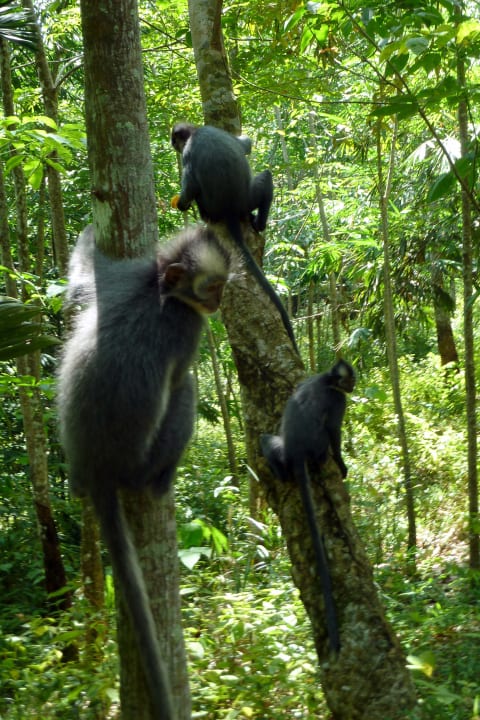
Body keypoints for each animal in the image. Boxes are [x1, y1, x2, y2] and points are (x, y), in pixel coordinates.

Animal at [57, 224, 232, 719]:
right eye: (209, 289)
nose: (218, 304)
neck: (157, 290)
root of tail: (97, 468)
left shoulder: (121, 276)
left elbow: (81, 280)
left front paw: (88, 232)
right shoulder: (187, 326)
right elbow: (179, 379)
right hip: (142, 460)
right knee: (186, 389)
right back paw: (160, 481)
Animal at [170, 122, 298, 353]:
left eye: (175, 141)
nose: (173, 144)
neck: (197, 131)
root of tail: (229, 210)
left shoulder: (188, 152)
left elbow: (189, 190)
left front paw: (181, 203)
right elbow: (245, 145)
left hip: (236, 200)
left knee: (264, 176)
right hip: (248, 199)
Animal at [260, 359, 356, 654]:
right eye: (350, 381)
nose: (354, 386)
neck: (325, 379)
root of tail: (297, 451)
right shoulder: (337, 400)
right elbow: (335, 431)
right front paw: (342, 464)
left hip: (280, 450)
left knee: (266, 440)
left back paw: (280, 473)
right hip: (318, 447)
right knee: (325, 440)